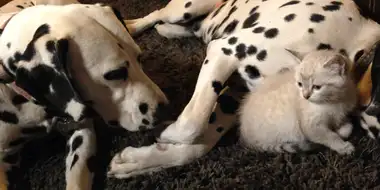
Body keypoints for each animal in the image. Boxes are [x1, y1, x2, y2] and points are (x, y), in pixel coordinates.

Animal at [106, 0, 380, 178]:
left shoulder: (237, 95)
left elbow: (198, 143)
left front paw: (138, 161)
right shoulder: (225, 50)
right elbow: (191, 124)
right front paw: (163, 133)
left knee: (178, 26)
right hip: (187, 7)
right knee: (155, 14)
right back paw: (127, 26)